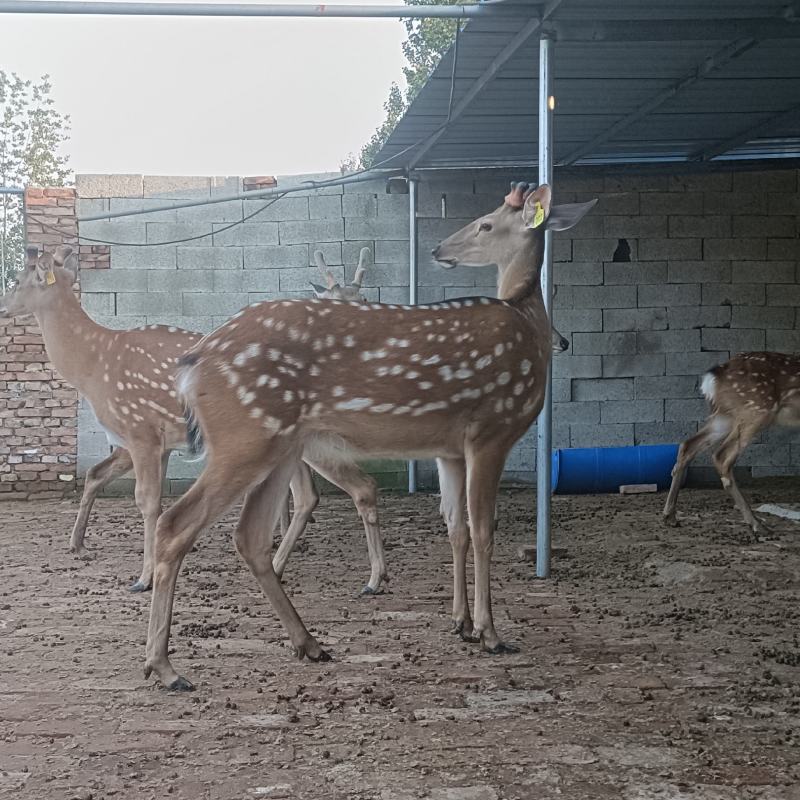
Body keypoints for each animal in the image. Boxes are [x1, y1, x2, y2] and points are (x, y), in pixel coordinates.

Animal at [0, 245, 390, 595]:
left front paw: (142, 579)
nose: (3, 305)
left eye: (18, 279)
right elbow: (149, 499)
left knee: (352, 487)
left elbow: (146, 501)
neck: (94, 366)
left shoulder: (139, 429)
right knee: (319, 493)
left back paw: (369, 579)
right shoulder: (161, 441)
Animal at [142, 182, 596, 691]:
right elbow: (483, 529)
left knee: (250, 535)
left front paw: (460, 623)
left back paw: (309, 644)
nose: (439, 249)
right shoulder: (491, 429)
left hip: (279, 446)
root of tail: (193, 361)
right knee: (176, 523)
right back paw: (165, 667)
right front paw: (490, 633)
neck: (527, 322)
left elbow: (455, 526)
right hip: (245, 438)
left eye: (485, 222)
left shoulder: (451, 449)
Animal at [663, 352, 800, 533]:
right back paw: (757, 524)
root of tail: (714, 376)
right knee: (722, 456)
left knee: (688, 445)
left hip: (726, 415)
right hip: (756, 410)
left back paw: (669, 516)